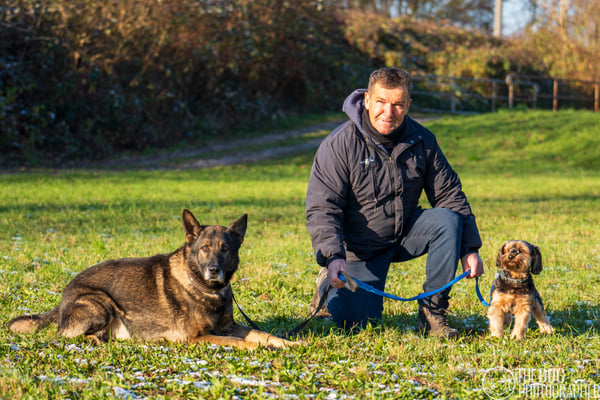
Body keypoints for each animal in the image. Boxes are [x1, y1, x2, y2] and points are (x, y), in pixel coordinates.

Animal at [8, 210, 298, 350]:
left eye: (225, 248)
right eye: (205, 248)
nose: (214, 270)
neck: (204, 287)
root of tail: (63, 298)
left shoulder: (228, 327)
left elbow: (261, 334)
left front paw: (288, 343)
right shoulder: (199, 337)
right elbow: (242, 342)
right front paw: (260, 349)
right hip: (101, 302)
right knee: (67, 335)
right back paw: (94, 340)